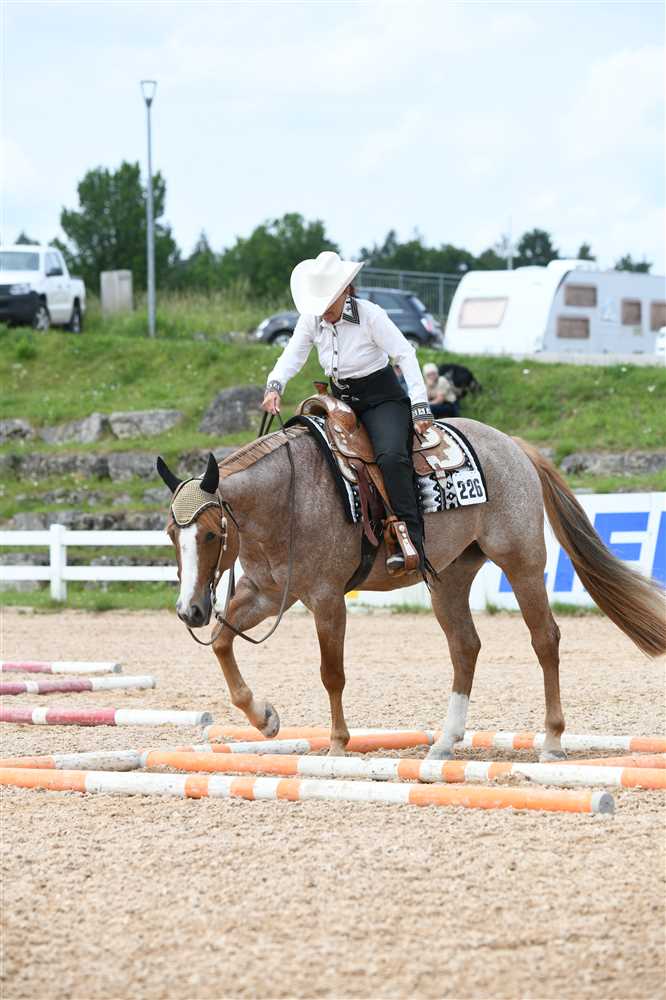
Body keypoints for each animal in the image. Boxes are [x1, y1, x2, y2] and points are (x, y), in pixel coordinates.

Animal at [157, 416, 665, 762]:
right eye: (170, 532)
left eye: (209, 534)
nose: (189, 610)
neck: (289, 498)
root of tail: (513, 446)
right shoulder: (263, 593)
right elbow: (221, 643)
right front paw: (264, 718)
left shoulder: (326, 598)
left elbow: (331, 673)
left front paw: (337, 744)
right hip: (449, 577)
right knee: (465, 647)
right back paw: (445, 742)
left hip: (522, 564)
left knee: (545, 640)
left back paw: (553, 740)